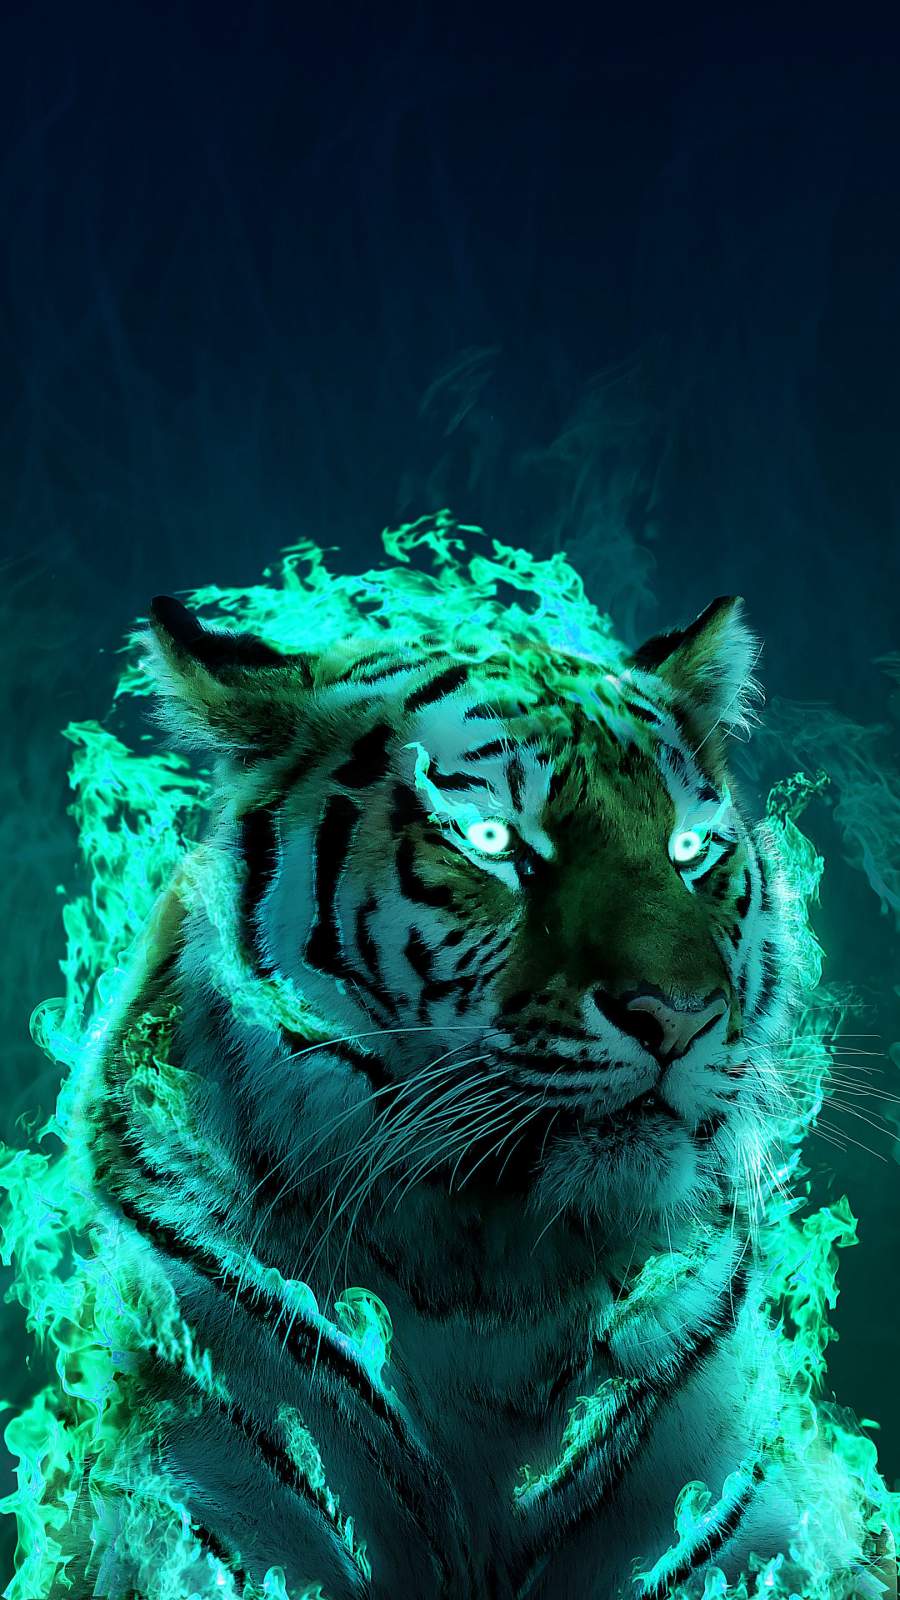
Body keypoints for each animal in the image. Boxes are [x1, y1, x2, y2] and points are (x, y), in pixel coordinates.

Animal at [51, 587, 896, 1600]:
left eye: (689, 850)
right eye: (493, 840)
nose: (681, 1014)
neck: (492, 1282)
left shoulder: (763, 1515)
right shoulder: (189, 1486)